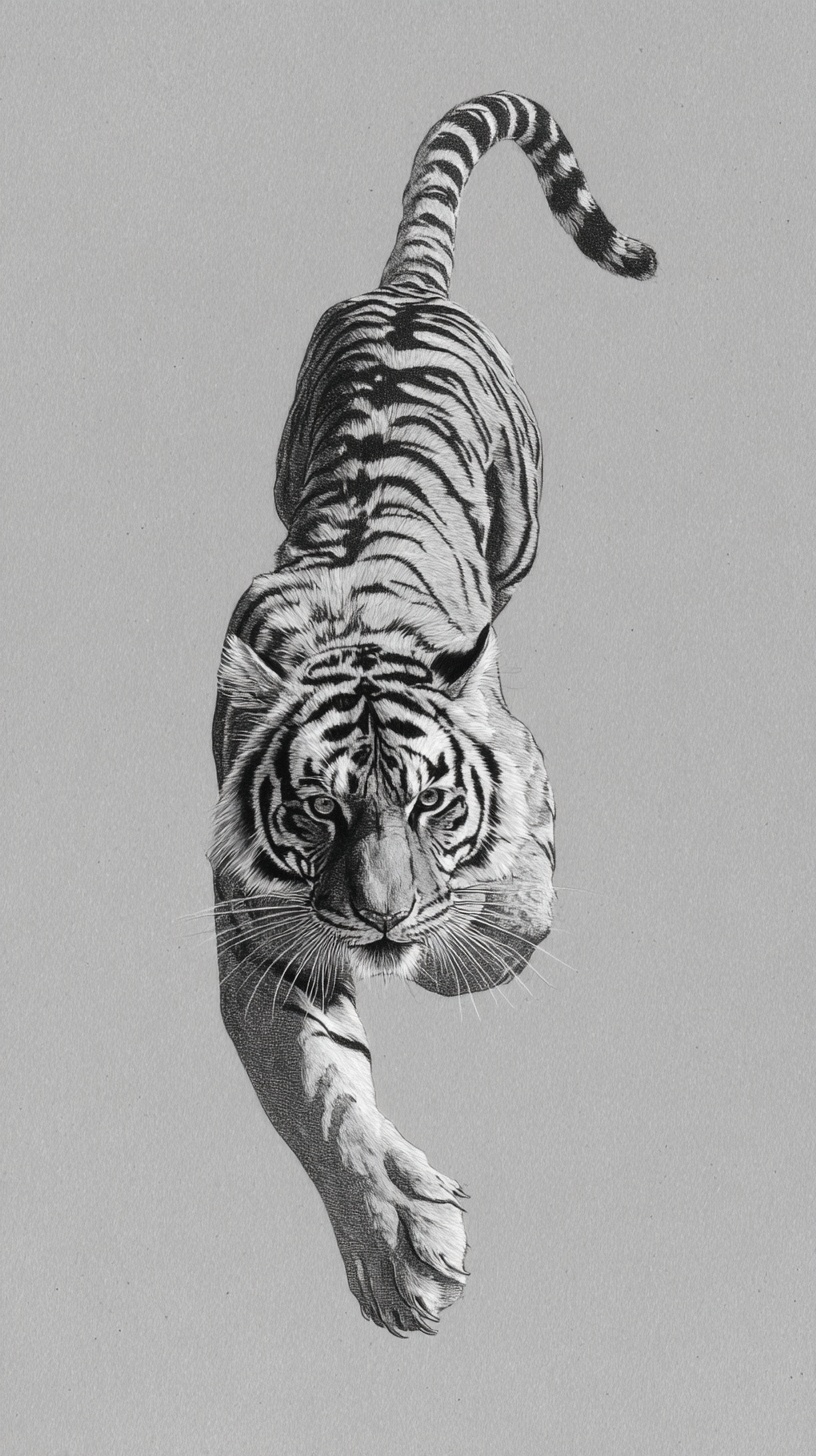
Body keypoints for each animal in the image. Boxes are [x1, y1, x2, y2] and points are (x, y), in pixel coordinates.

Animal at [210, 91, 655, 1337]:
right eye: (317, 811)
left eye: (428, 803)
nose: (380, 920)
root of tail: (404, 290)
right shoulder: (254, 935)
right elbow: (308, 1088)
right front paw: (398, 1246)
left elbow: (509, 919)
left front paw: (465, 942)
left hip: (526, 512)